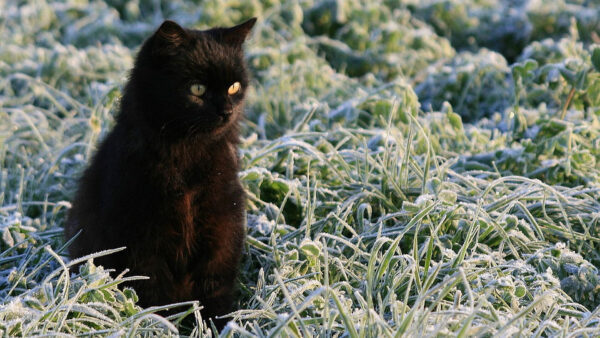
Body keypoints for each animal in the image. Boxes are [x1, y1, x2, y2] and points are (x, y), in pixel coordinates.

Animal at [65, 17, 255, 328]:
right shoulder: (142, 236)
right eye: (197, 89)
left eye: (234, 87)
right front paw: (162, 325)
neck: (186, 153)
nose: (227, 111)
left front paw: (217, 324)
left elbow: (214, 283)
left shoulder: (221, 224)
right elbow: (153, 290)